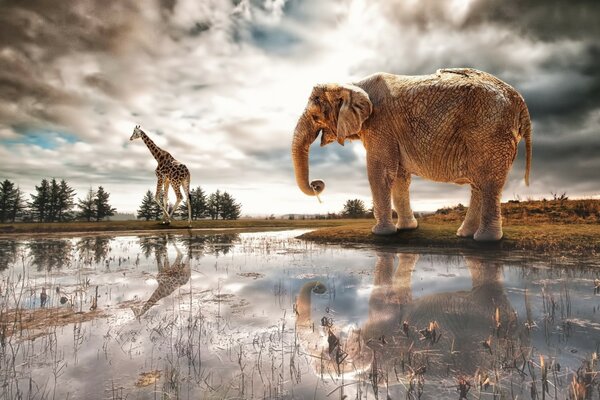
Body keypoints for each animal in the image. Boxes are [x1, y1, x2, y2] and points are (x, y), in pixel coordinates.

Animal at [292, 68, 532, 241]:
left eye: (315, 117)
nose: (317, 184)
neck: (352, 85)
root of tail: (520, 101)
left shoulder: (381, 124)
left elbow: (380, 172)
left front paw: (381, 234)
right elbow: (399, 176)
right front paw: (407, 229)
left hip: (490, 131)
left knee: (488, 181)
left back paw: (485, 240)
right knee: (479, 184)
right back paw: (465, 235)